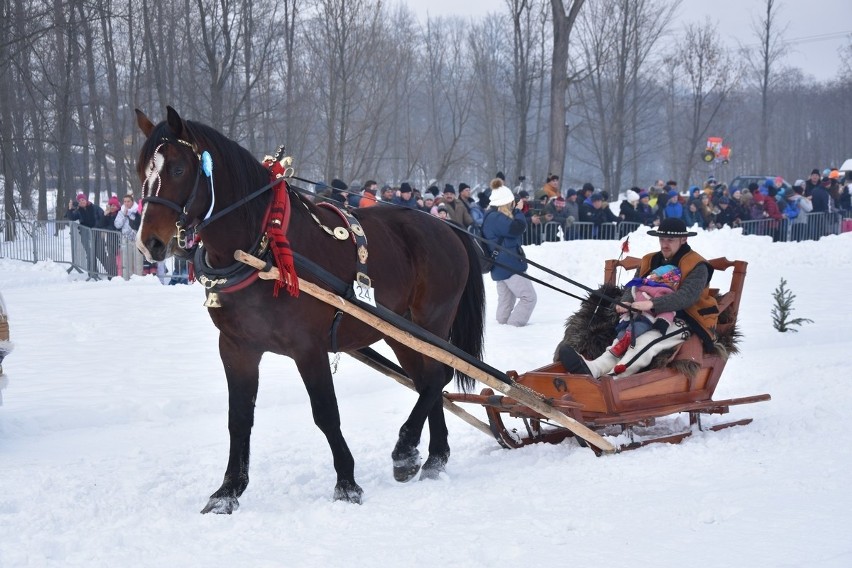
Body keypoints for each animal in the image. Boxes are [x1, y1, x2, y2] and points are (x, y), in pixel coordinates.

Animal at [134, 107, 486, 516]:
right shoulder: (237, 347)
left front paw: (347, 484)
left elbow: (325, 413)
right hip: (400, 333)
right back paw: (431, 458)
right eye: (142, 170)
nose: (149, 243)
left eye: (177, 168)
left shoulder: (308, 348)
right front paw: (227, 492)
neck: (261, 248)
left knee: (437, 377)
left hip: (429, 322)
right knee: (429, 381)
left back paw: (405, 449)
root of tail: (447, 227)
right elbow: (239, 418)